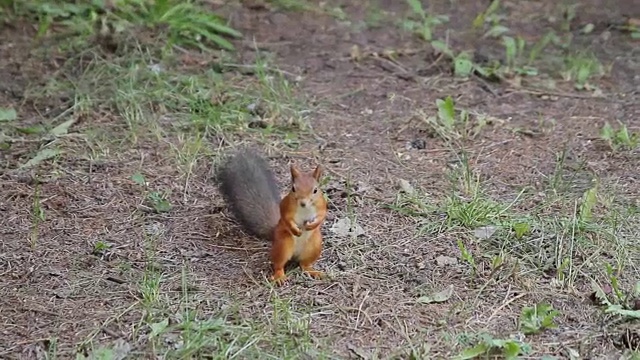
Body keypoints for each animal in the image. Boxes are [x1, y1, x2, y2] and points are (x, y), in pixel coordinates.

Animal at [216, 149, 328, 284]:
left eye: (315, 190)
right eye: (293, 188)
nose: (302, 203)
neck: (305, 208)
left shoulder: (322, 205)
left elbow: (322, 215)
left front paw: (312, 225)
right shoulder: (286, 206)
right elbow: (286, 218)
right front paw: (295, 229)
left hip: (314, 246)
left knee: (304, 264)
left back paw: (312, 271)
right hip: (283, 245)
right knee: (278, 264)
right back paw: (279, 276)